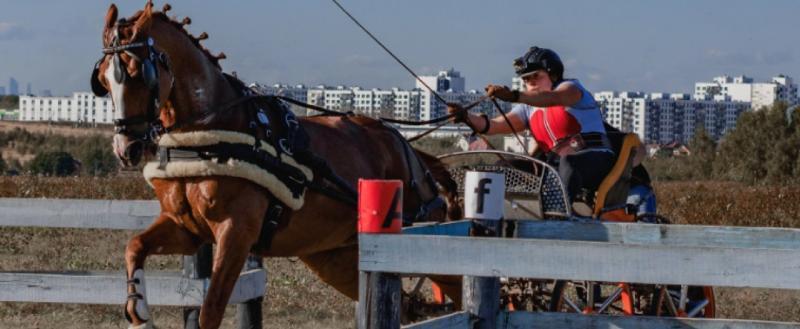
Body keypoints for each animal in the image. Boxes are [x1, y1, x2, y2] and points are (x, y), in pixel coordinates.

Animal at [90, 3, 460, 328]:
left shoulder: (236, 233)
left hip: (424, 242)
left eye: (140, 74)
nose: (126, 148)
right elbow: (135, 246)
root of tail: (407, 149)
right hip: (336, 257)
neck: (210, 135)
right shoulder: (188, 229)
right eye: (104, 80)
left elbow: (210, 311)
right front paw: (139, 311)